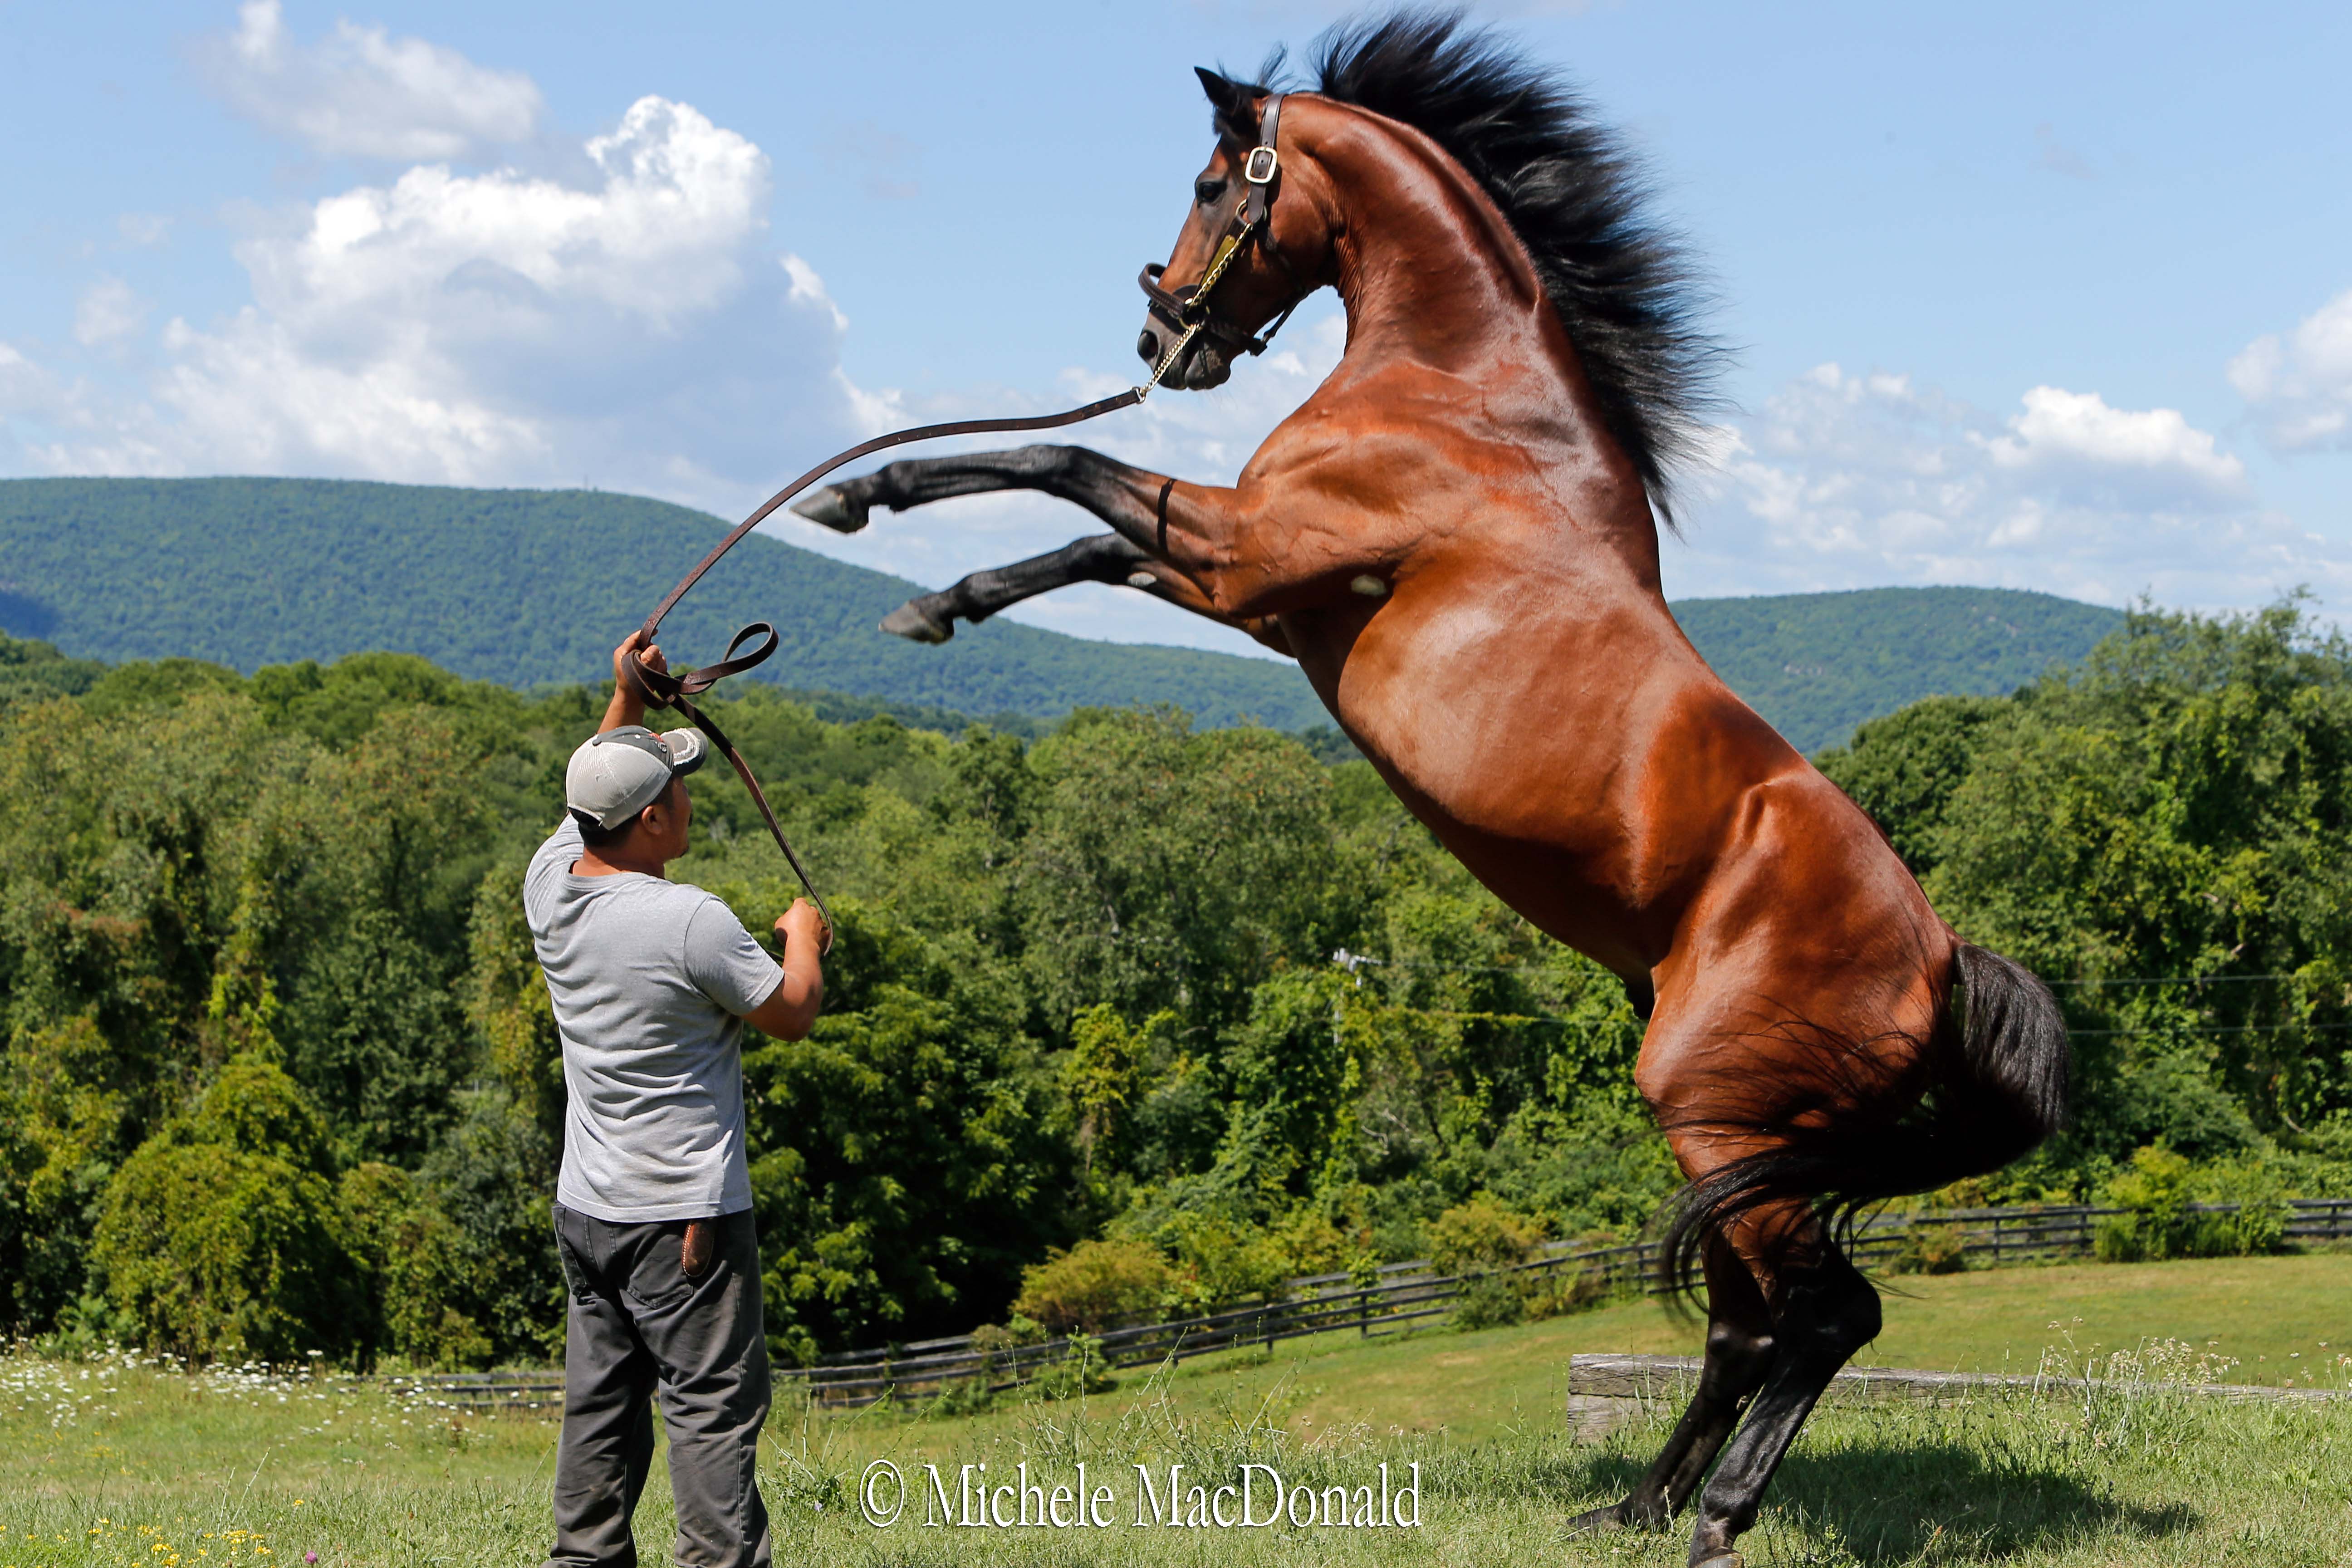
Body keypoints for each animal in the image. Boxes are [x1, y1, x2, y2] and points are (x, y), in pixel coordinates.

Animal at [790, 18, 2060, 1561]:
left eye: (1214, 183)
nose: (1161, 338)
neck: (1467, 400)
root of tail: (1942, 961)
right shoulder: (1258, 592)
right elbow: (1085, 521)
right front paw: (905, 554)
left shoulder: (1257, 555)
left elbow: (1067, 463)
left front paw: (887, 532)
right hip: (1745, 1147)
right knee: (1750, 1330)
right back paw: (1633, 1508)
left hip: (1714, 1115)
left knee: (1825, 1320)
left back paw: (1716, 1519)